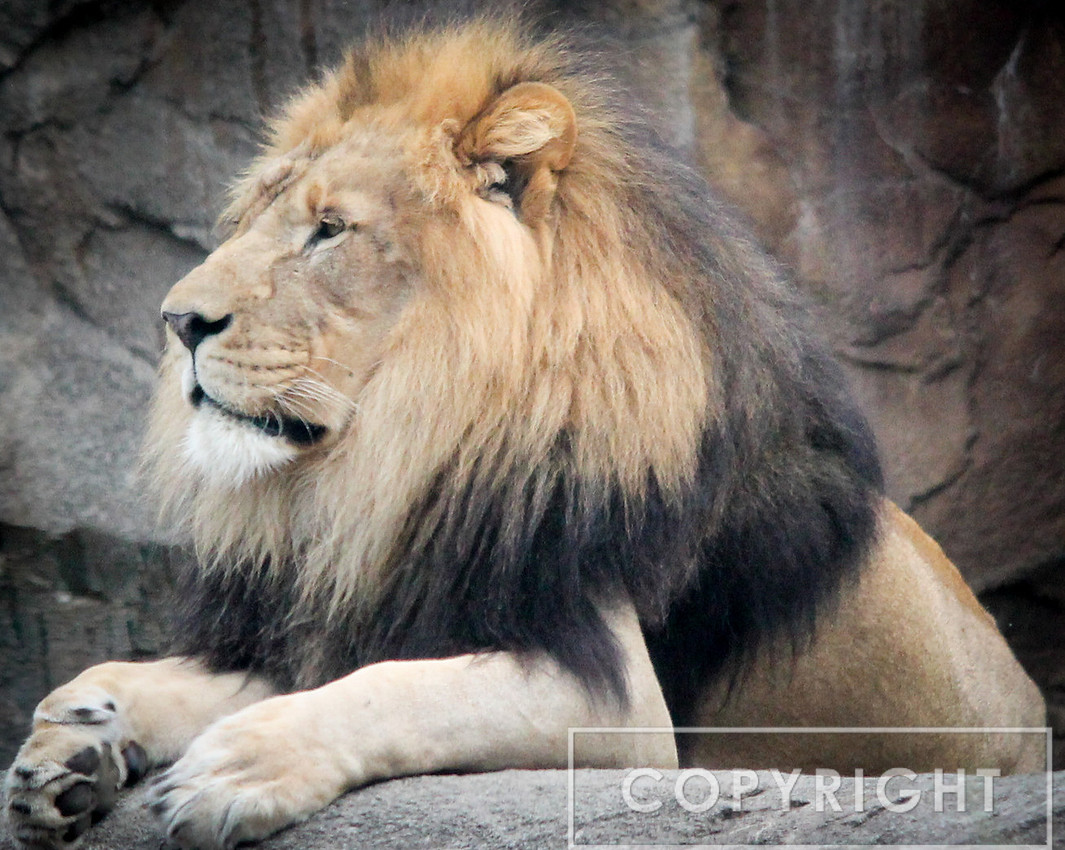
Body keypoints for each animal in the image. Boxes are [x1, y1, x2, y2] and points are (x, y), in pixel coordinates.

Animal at [5, 17, 1046, 850]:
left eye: (329, 230)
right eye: (254, 218)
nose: (176, 321)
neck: (397, 460)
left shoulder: (616, 705)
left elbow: (394, 690)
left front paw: (238, 767)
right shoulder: (380, 600)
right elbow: (178, 674)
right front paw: (76, 739)